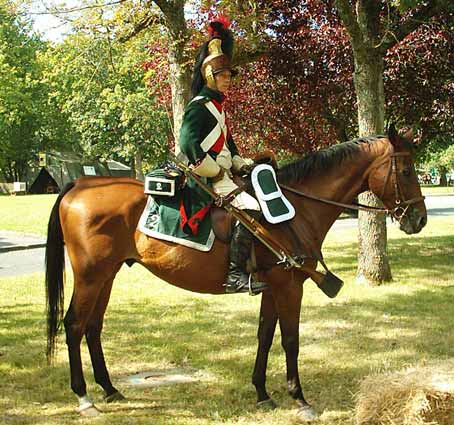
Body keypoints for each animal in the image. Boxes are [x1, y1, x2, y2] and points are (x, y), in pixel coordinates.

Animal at [45, 126, 426, 418]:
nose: (419, 219)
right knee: (75, 325)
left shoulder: (273, 287)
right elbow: (290, 340)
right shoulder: (290, 288)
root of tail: (80, 185)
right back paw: (84, 398)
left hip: (107, 276)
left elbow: (265, 336)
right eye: (407, 171)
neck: (297, 209)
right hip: (91, 276)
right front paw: (299, 398)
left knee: (93, 327)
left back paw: (109, 388)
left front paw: (262, 392)